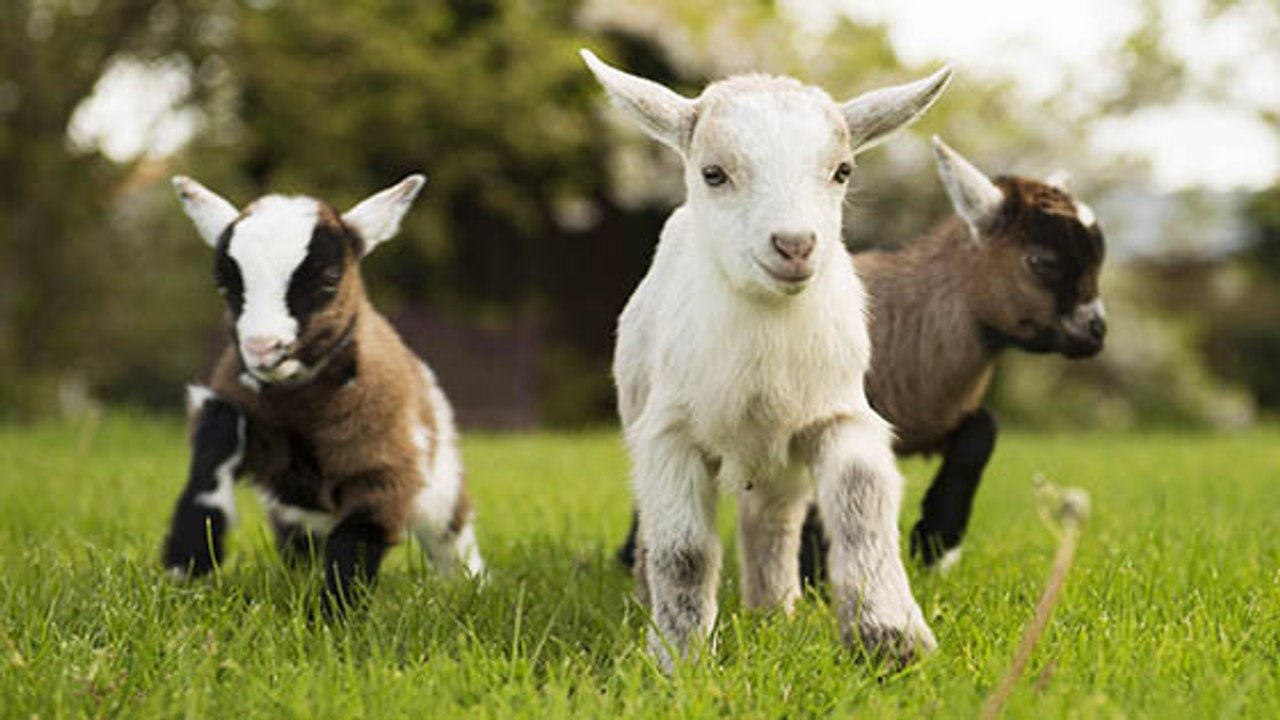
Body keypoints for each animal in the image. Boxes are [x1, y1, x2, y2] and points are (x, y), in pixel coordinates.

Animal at [162, 175, 484, 611]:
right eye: (224, 285)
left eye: (330, 280)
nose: (263, 348)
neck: (299, 405)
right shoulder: (247, 421)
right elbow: (217, 436)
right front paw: (186, 559)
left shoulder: (383, 468)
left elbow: (357, 539)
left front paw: (332, 618)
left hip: (443, 485)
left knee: (453, 540)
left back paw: (475, 587)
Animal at [581, 48, 951, 668]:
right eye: (714, 173)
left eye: (842, 171)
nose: (794, 245)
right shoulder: (670, 433)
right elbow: (683, 549)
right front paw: (679, 657)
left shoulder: (837, 412)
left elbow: (861, 502)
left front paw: (889, 639)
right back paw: (652, 601)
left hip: (779, 462)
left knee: (773, 521)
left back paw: (774, 611)